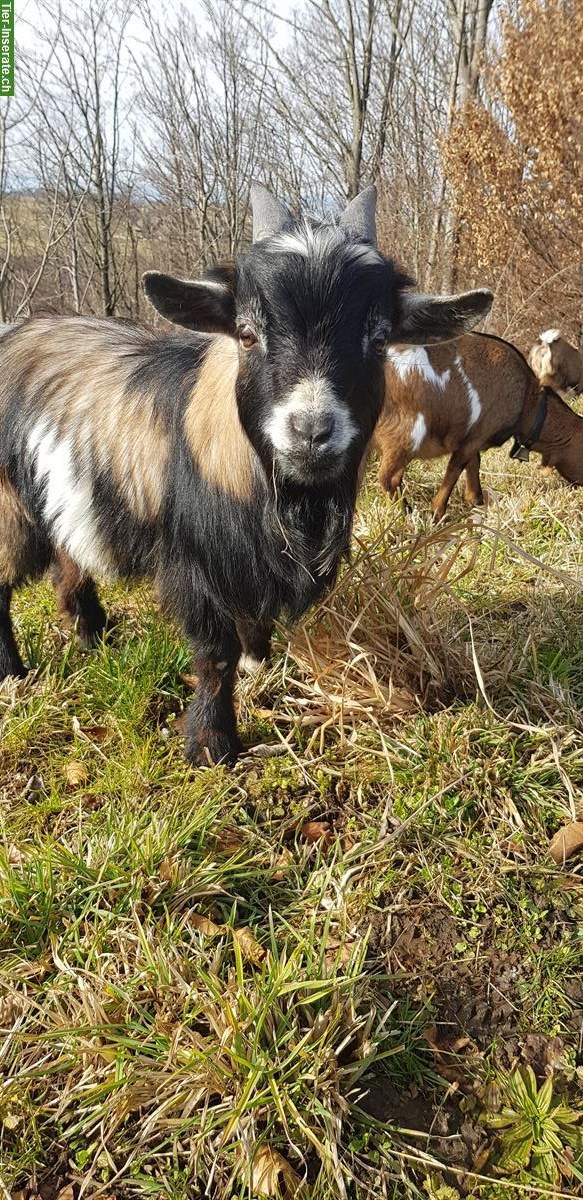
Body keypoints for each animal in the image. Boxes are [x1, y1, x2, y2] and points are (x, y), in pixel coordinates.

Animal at [0, 184, 491, 768]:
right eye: (248, 333)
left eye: (378, 339)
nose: (310, 430)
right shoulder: (195, 561)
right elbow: (215, 654)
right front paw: (211, 745)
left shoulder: (258, 565)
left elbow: (256, 625)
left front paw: (262, 667)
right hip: (8, 508)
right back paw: (14, 674)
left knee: (71, 572)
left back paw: (96, 642)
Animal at [374, 328, 583, 520]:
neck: (527, 401)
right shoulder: (476, 435)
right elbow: (455, 469)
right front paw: (437, 513)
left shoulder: (472, 436)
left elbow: (473, 463)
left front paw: (477, 501)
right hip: (408, 433)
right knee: (389, 478)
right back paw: (408, 515)